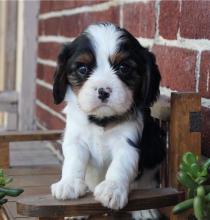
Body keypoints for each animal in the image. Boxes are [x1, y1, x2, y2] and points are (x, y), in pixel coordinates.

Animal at [51, 22, 166, 220]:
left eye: (123, 68)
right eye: (83, 69)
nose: (103, 91)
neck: (101, 120)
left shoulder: (128, 142)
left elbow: (120, 166)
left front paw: (112, 190)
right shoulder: (75, 139)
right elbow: (73, 161)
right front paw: (69, 184)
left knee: (146, 183)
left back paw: (145, 210)